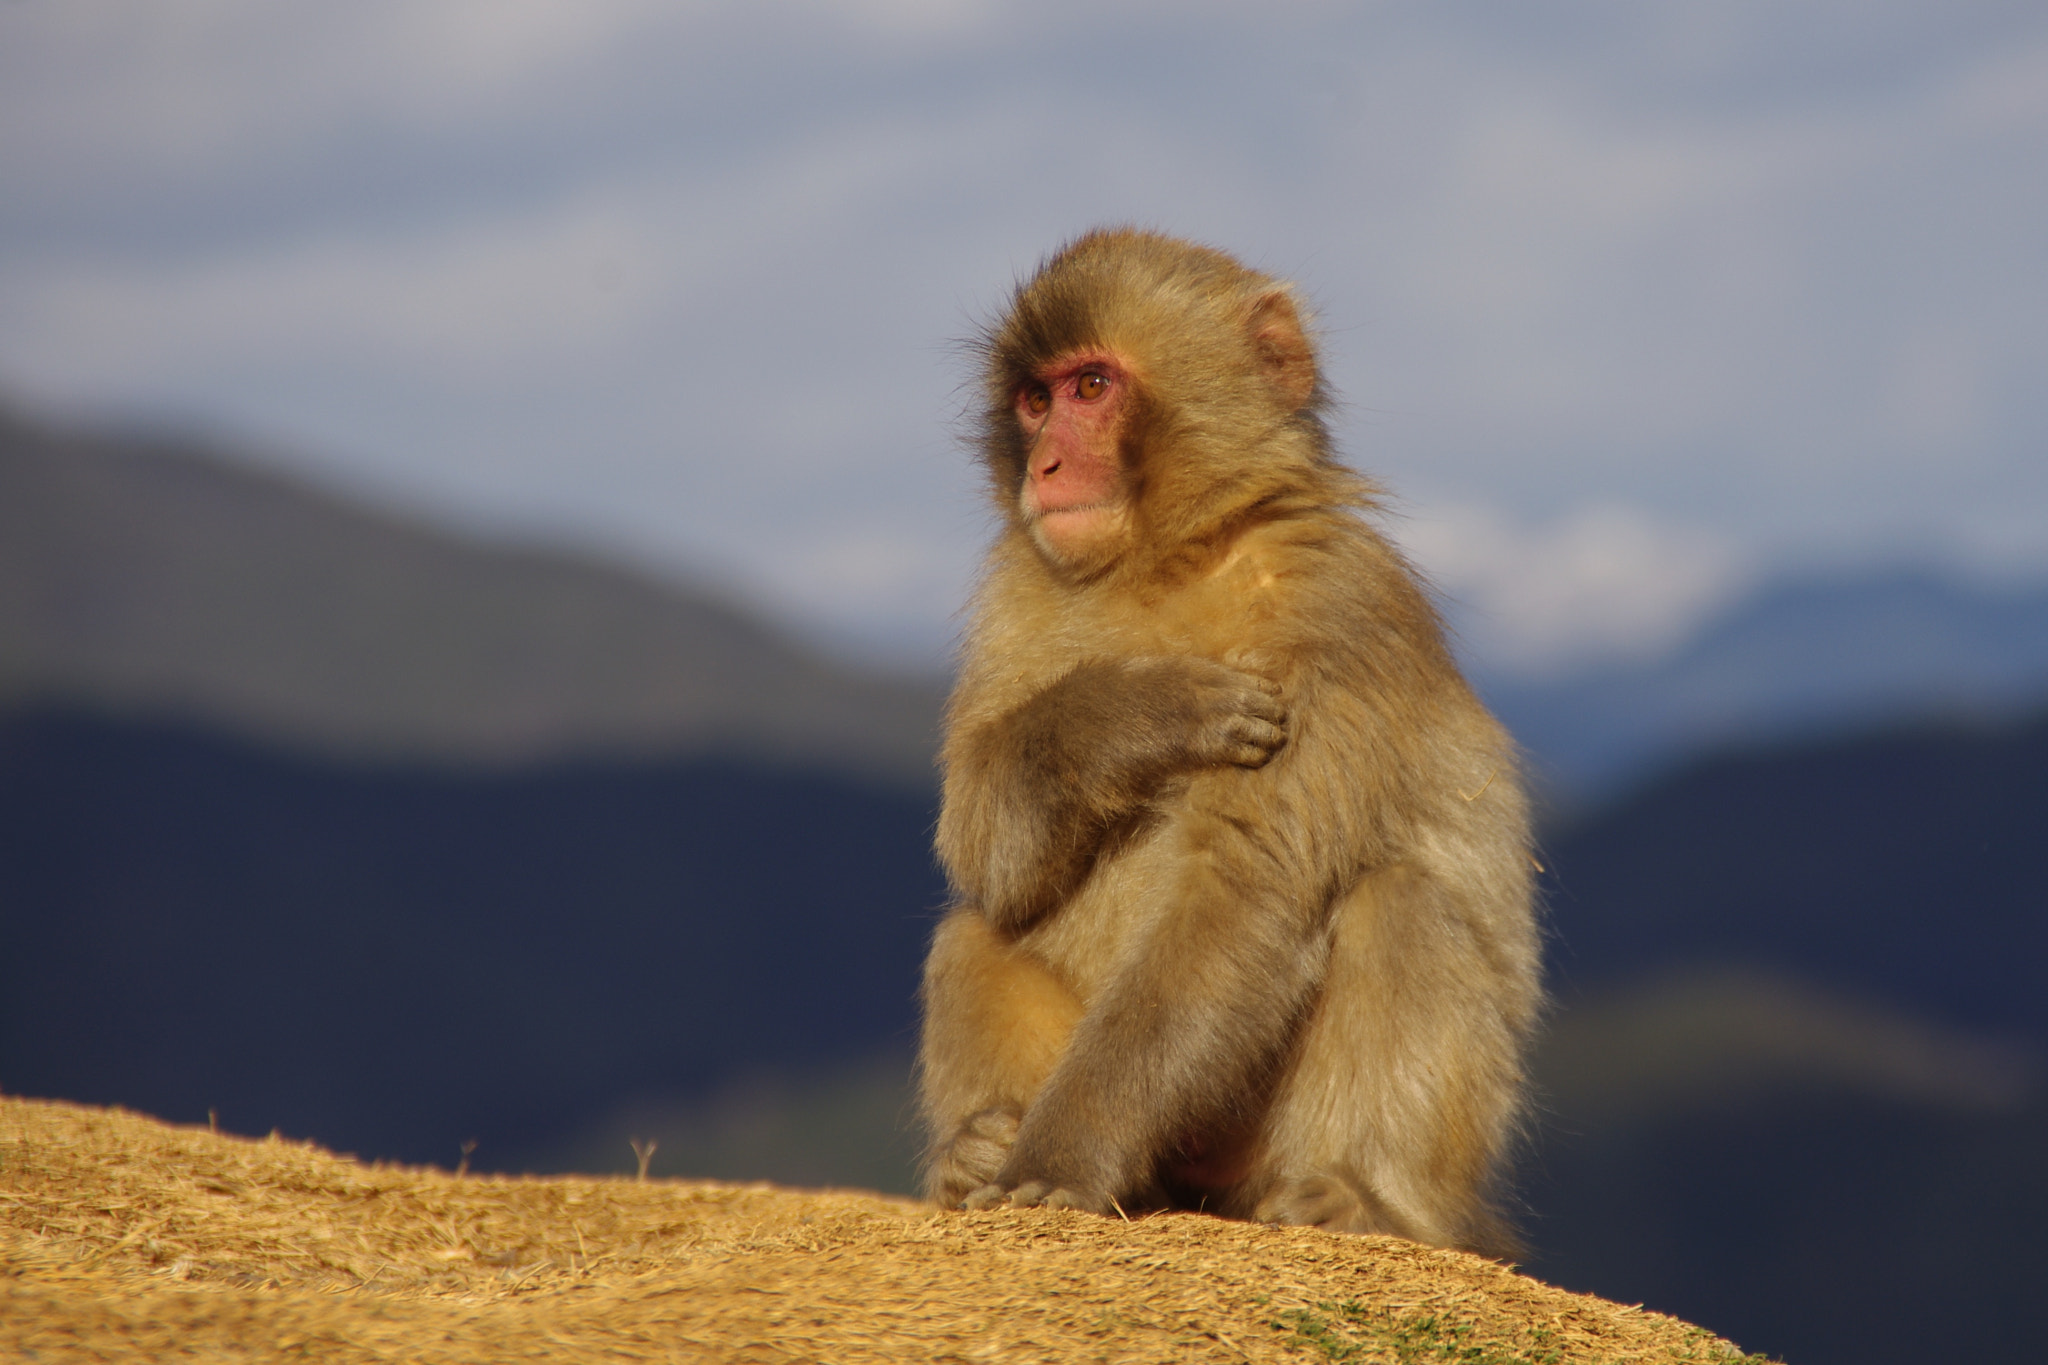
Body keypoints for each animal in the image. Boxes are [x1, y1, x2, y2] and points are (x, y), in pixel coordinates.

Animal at [913, 227, 1540, 1260]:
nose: (1044, 466)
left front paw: (1060, 1157)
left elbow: (1245, 890)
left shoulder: (1332, 608)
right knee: (974, 924)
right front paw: (1134, 712)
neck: (1170, 557)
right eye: (1035, 400)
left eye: (1092, 387)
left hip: (1269, 1157)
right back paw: (971, 1153)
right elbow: (979, 838)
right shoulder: (1015, 589)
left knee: (1401, 903)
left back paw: (1372, 1203)